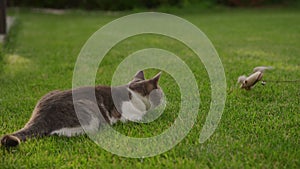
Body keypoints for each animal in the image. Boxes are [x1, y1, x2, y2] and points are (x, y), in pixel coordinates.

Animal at [0, 70, 164, 147]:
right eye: (161, 93)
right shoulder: (130, 116)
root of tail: (40, 116)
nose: (165, 99)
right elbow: (142, 116)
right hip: (90, 116)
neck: (133, 91)